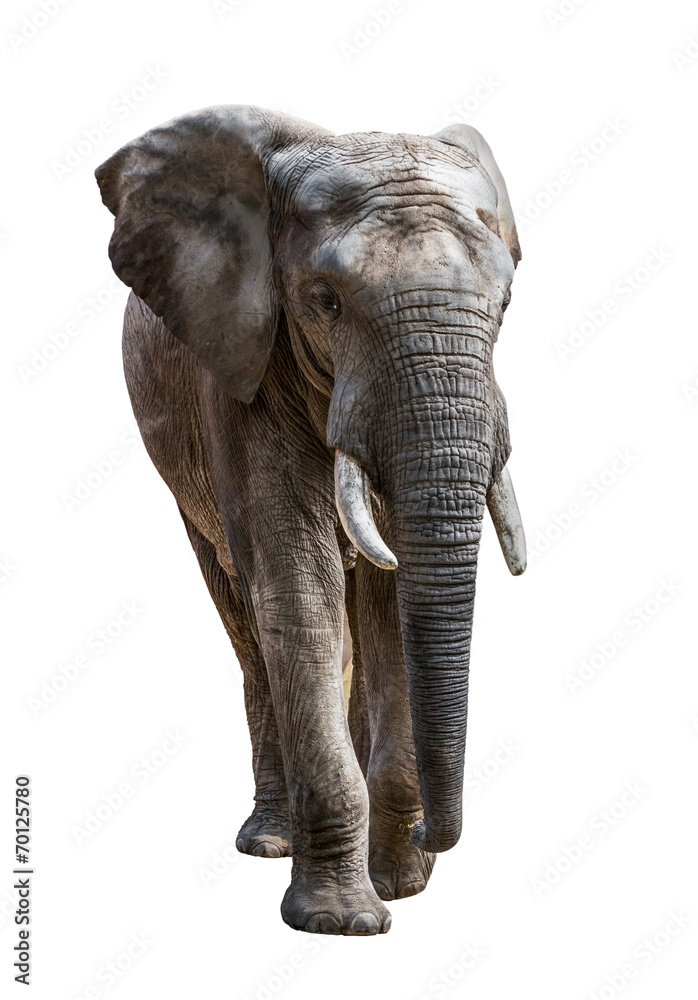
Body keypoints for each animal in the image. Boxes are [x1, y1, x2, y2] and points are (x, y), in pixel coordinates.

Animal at [95, 105, 526, 936]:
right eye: (325, 299)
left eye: (507, 302)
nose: (431, 839)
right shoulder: (241, 366)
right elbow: (297, 581)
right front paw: (342, 922)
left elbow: (390, 600)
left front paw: (400, 883)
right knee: (245, 612)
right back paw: (269, 840)